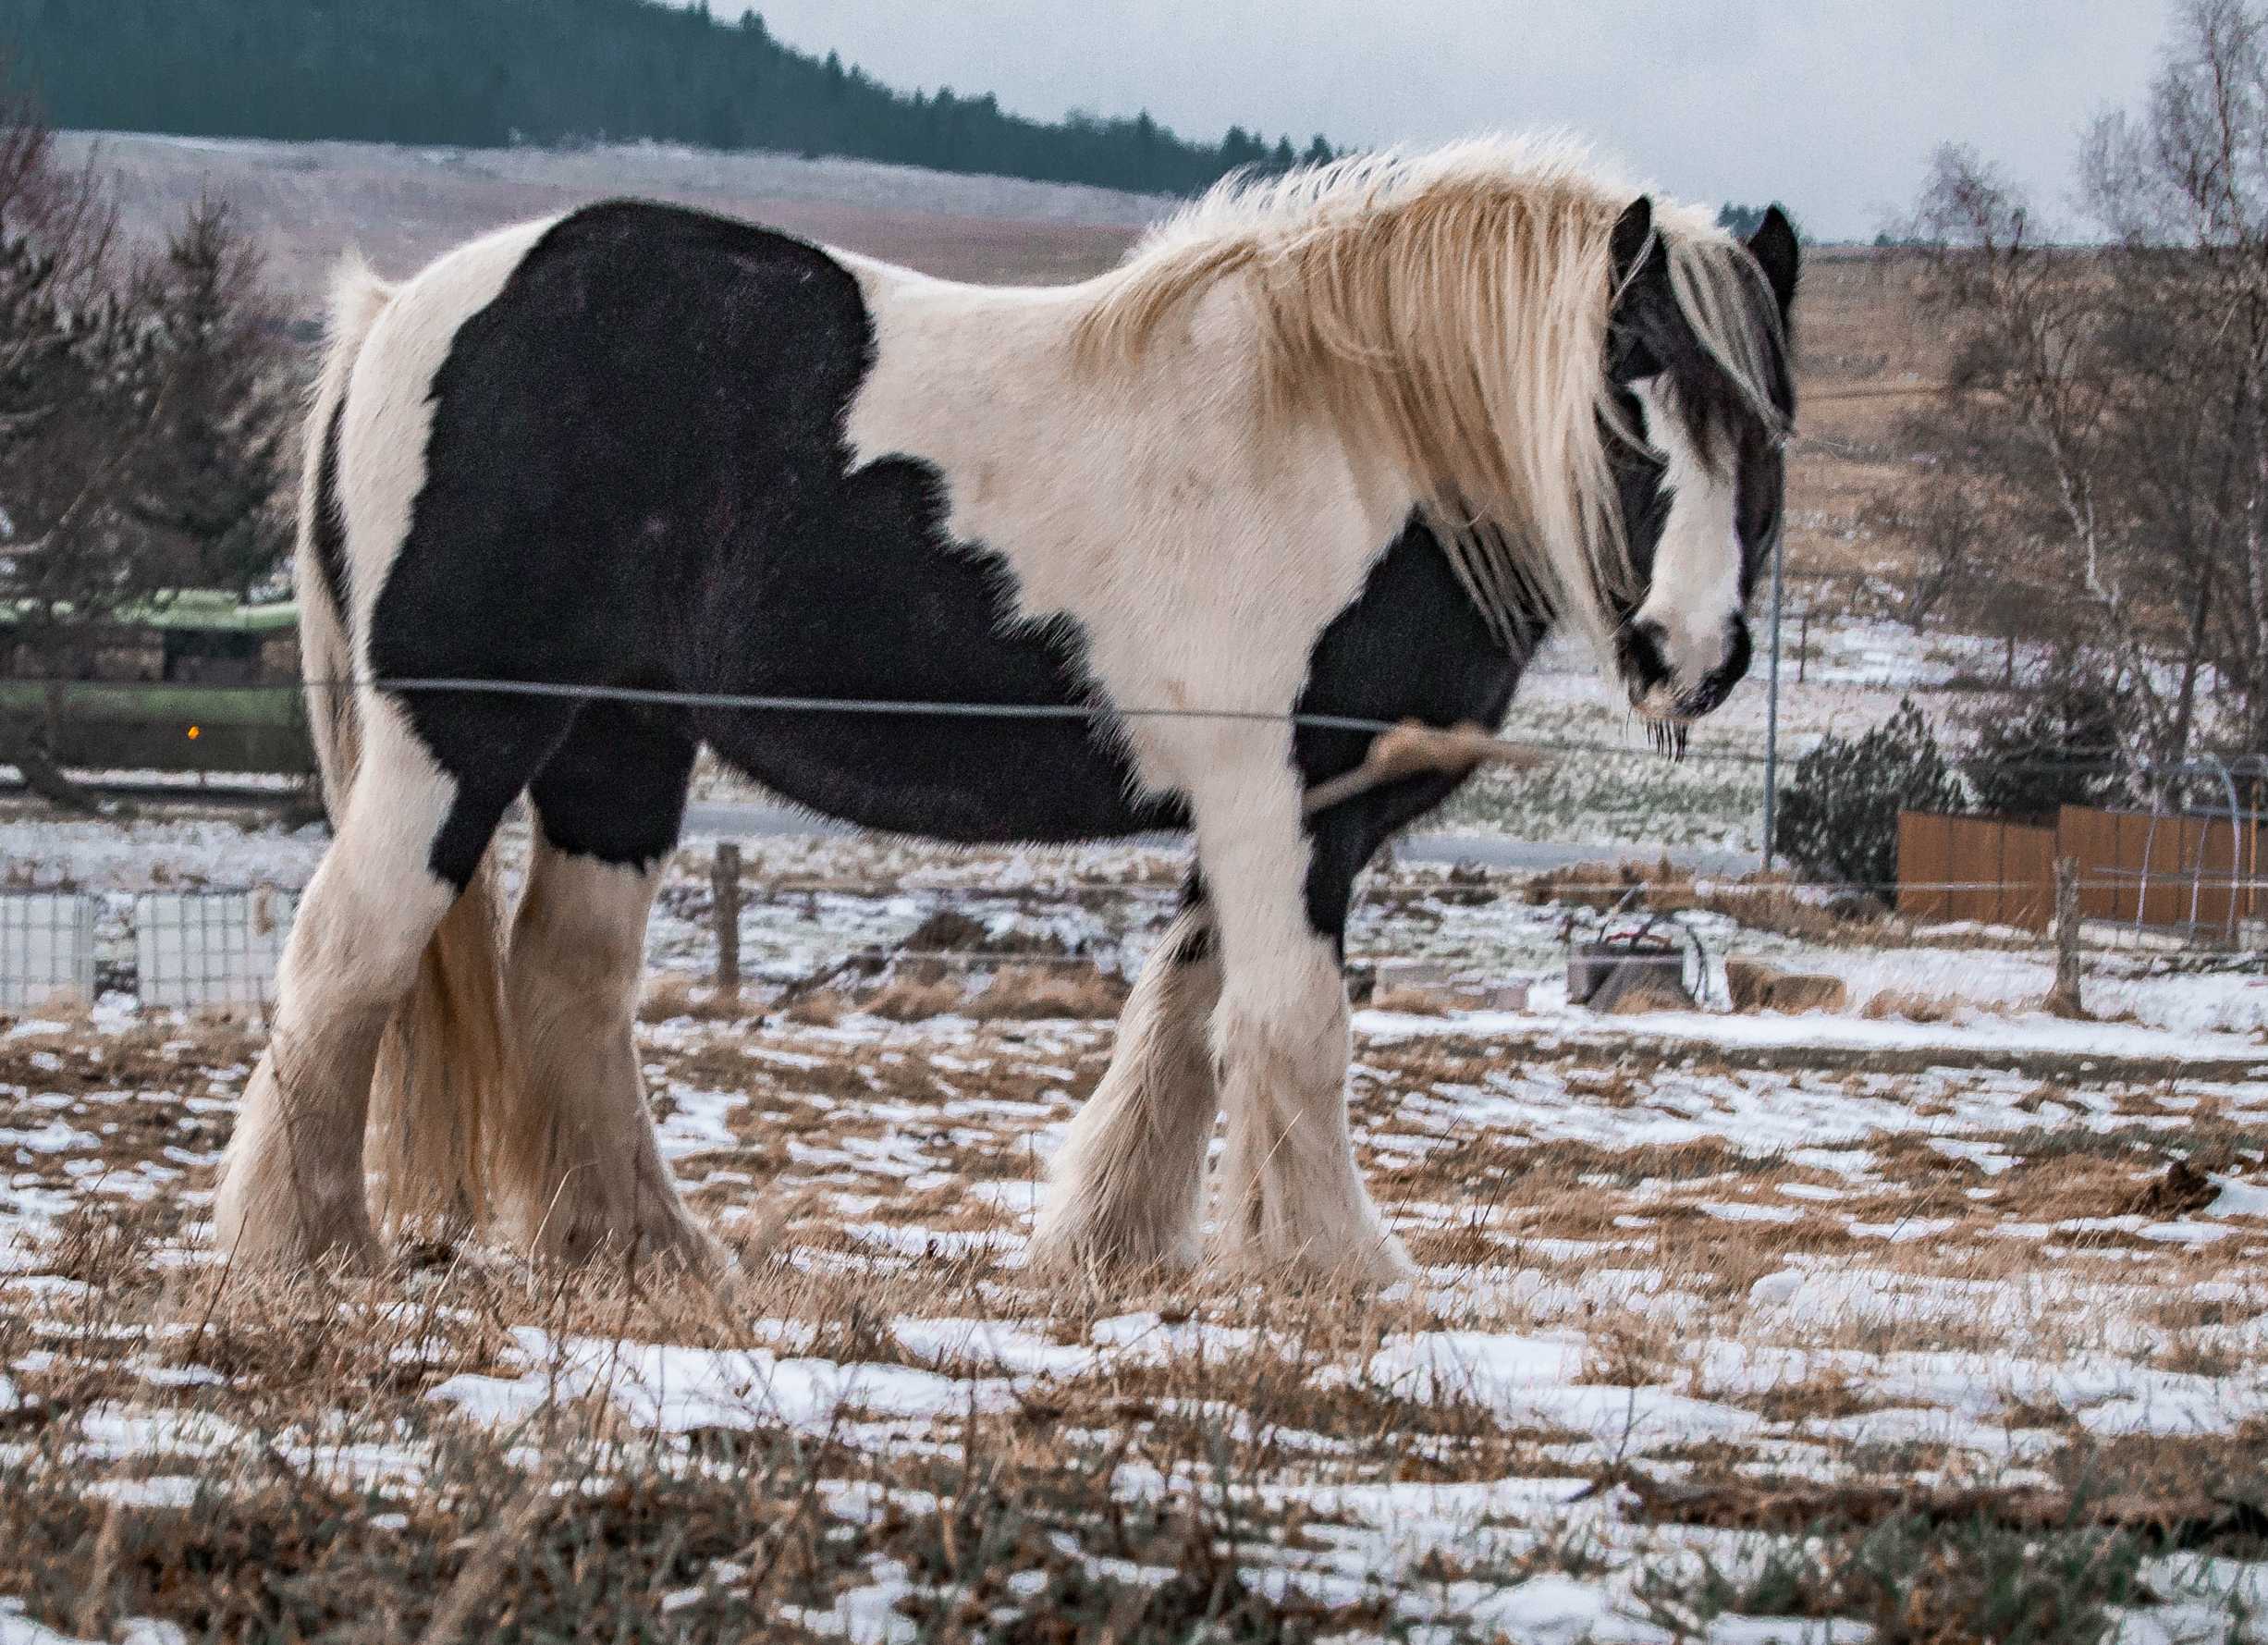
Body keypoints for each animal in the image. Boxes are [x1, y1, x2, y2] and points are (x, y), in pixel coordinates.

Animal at [221, 141, 1796, 1279]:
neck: (1356, 442)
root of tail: (400, 317)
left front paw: (1117, 1242)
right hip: (458, 738)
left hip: (621, 747)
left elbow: (1183, 1018)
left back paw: (645, 1249)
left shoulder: (1281, 824)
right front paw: (1345, 1270)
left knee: (568, 981)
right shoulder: (1282, 806)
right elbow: (1291, 1027)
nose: (1692, 650)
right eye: (1625, 400)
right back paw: (305, 1247)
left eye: (1766, 426)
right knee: (346, 954)